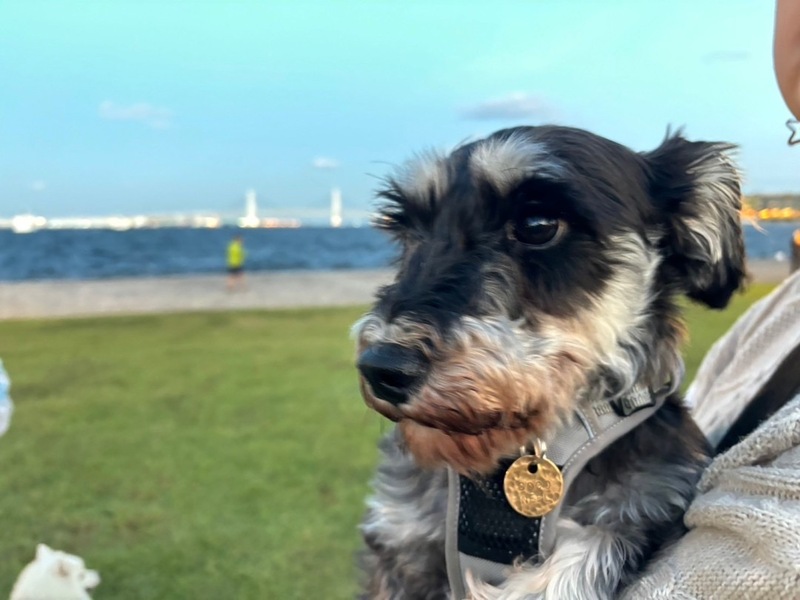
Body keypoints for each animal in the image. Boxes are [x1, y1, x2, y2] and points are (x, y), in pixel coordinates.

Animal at [353, 126, 745, 600]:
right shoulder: (400, 543)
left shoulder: (648, 506)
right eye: (409, 229)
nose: (382, 368)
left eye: (537, 226)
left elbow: (586, 552)